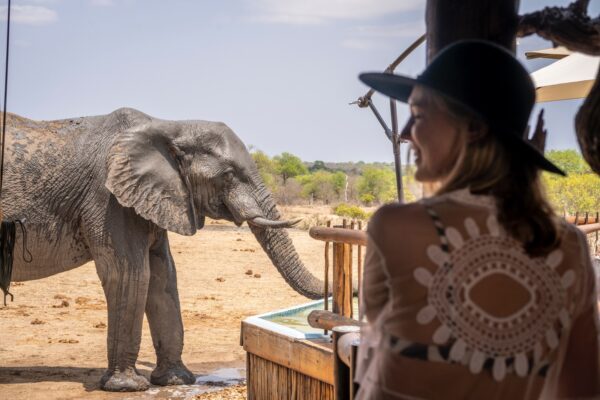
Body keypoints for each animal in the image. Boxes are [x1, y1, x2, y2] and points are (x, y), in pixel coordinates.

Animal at [1, 108, 324, 392]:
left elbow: (163, 277)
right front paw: (127, 387)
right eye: (229, 175)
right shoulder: (108, 199)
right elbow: (130, 274)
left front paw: (176, 381)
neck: (170, 126)